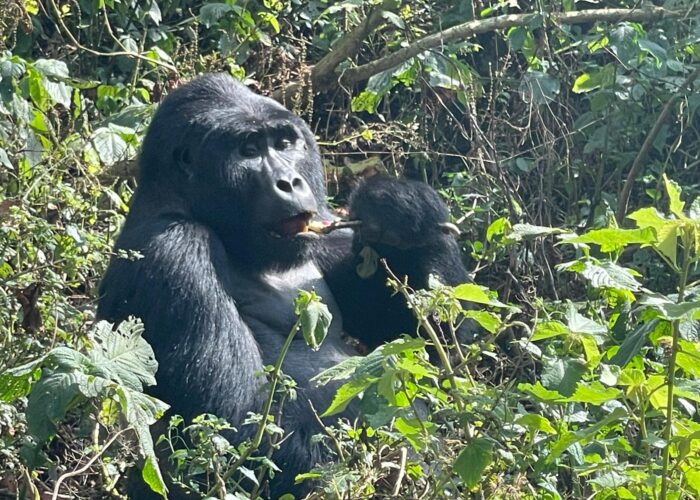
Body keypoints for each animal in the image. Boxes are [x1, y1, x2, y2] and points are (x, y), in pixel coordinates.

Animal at [97, 73, 470, 496]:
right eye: (248, 150)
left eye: (284, 143)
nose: (290, 181)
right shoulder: (173, 249)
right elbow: (234, 428)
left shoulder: (325, 224)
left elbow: (430, 339)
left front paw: (401, 208)